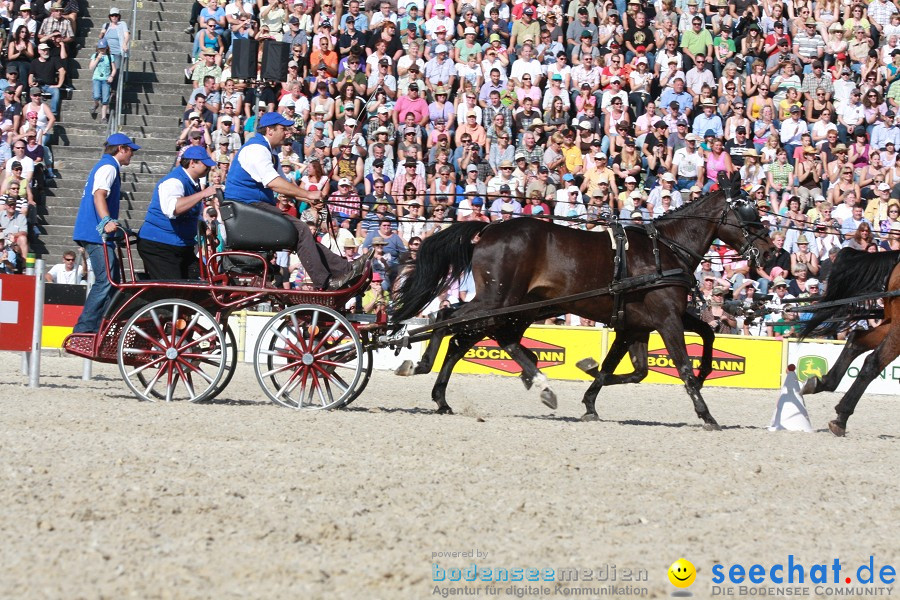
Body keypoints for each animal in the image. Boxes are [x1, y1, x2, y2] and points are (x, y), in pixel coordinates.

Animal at [394, 188, 772, 426]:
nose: (771, 253)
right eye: (748, 212)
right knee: (448, 318)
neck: (663, 251)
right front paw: (706, 414)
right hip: (497, 301)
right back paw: (423, 366)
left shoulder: (636, 326)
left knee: (479, 338)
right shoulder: (667, 320)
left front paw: (589, 393)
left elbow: (637, 367)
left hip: (512, 307)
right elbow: (681, 366)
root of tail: (489, 229)